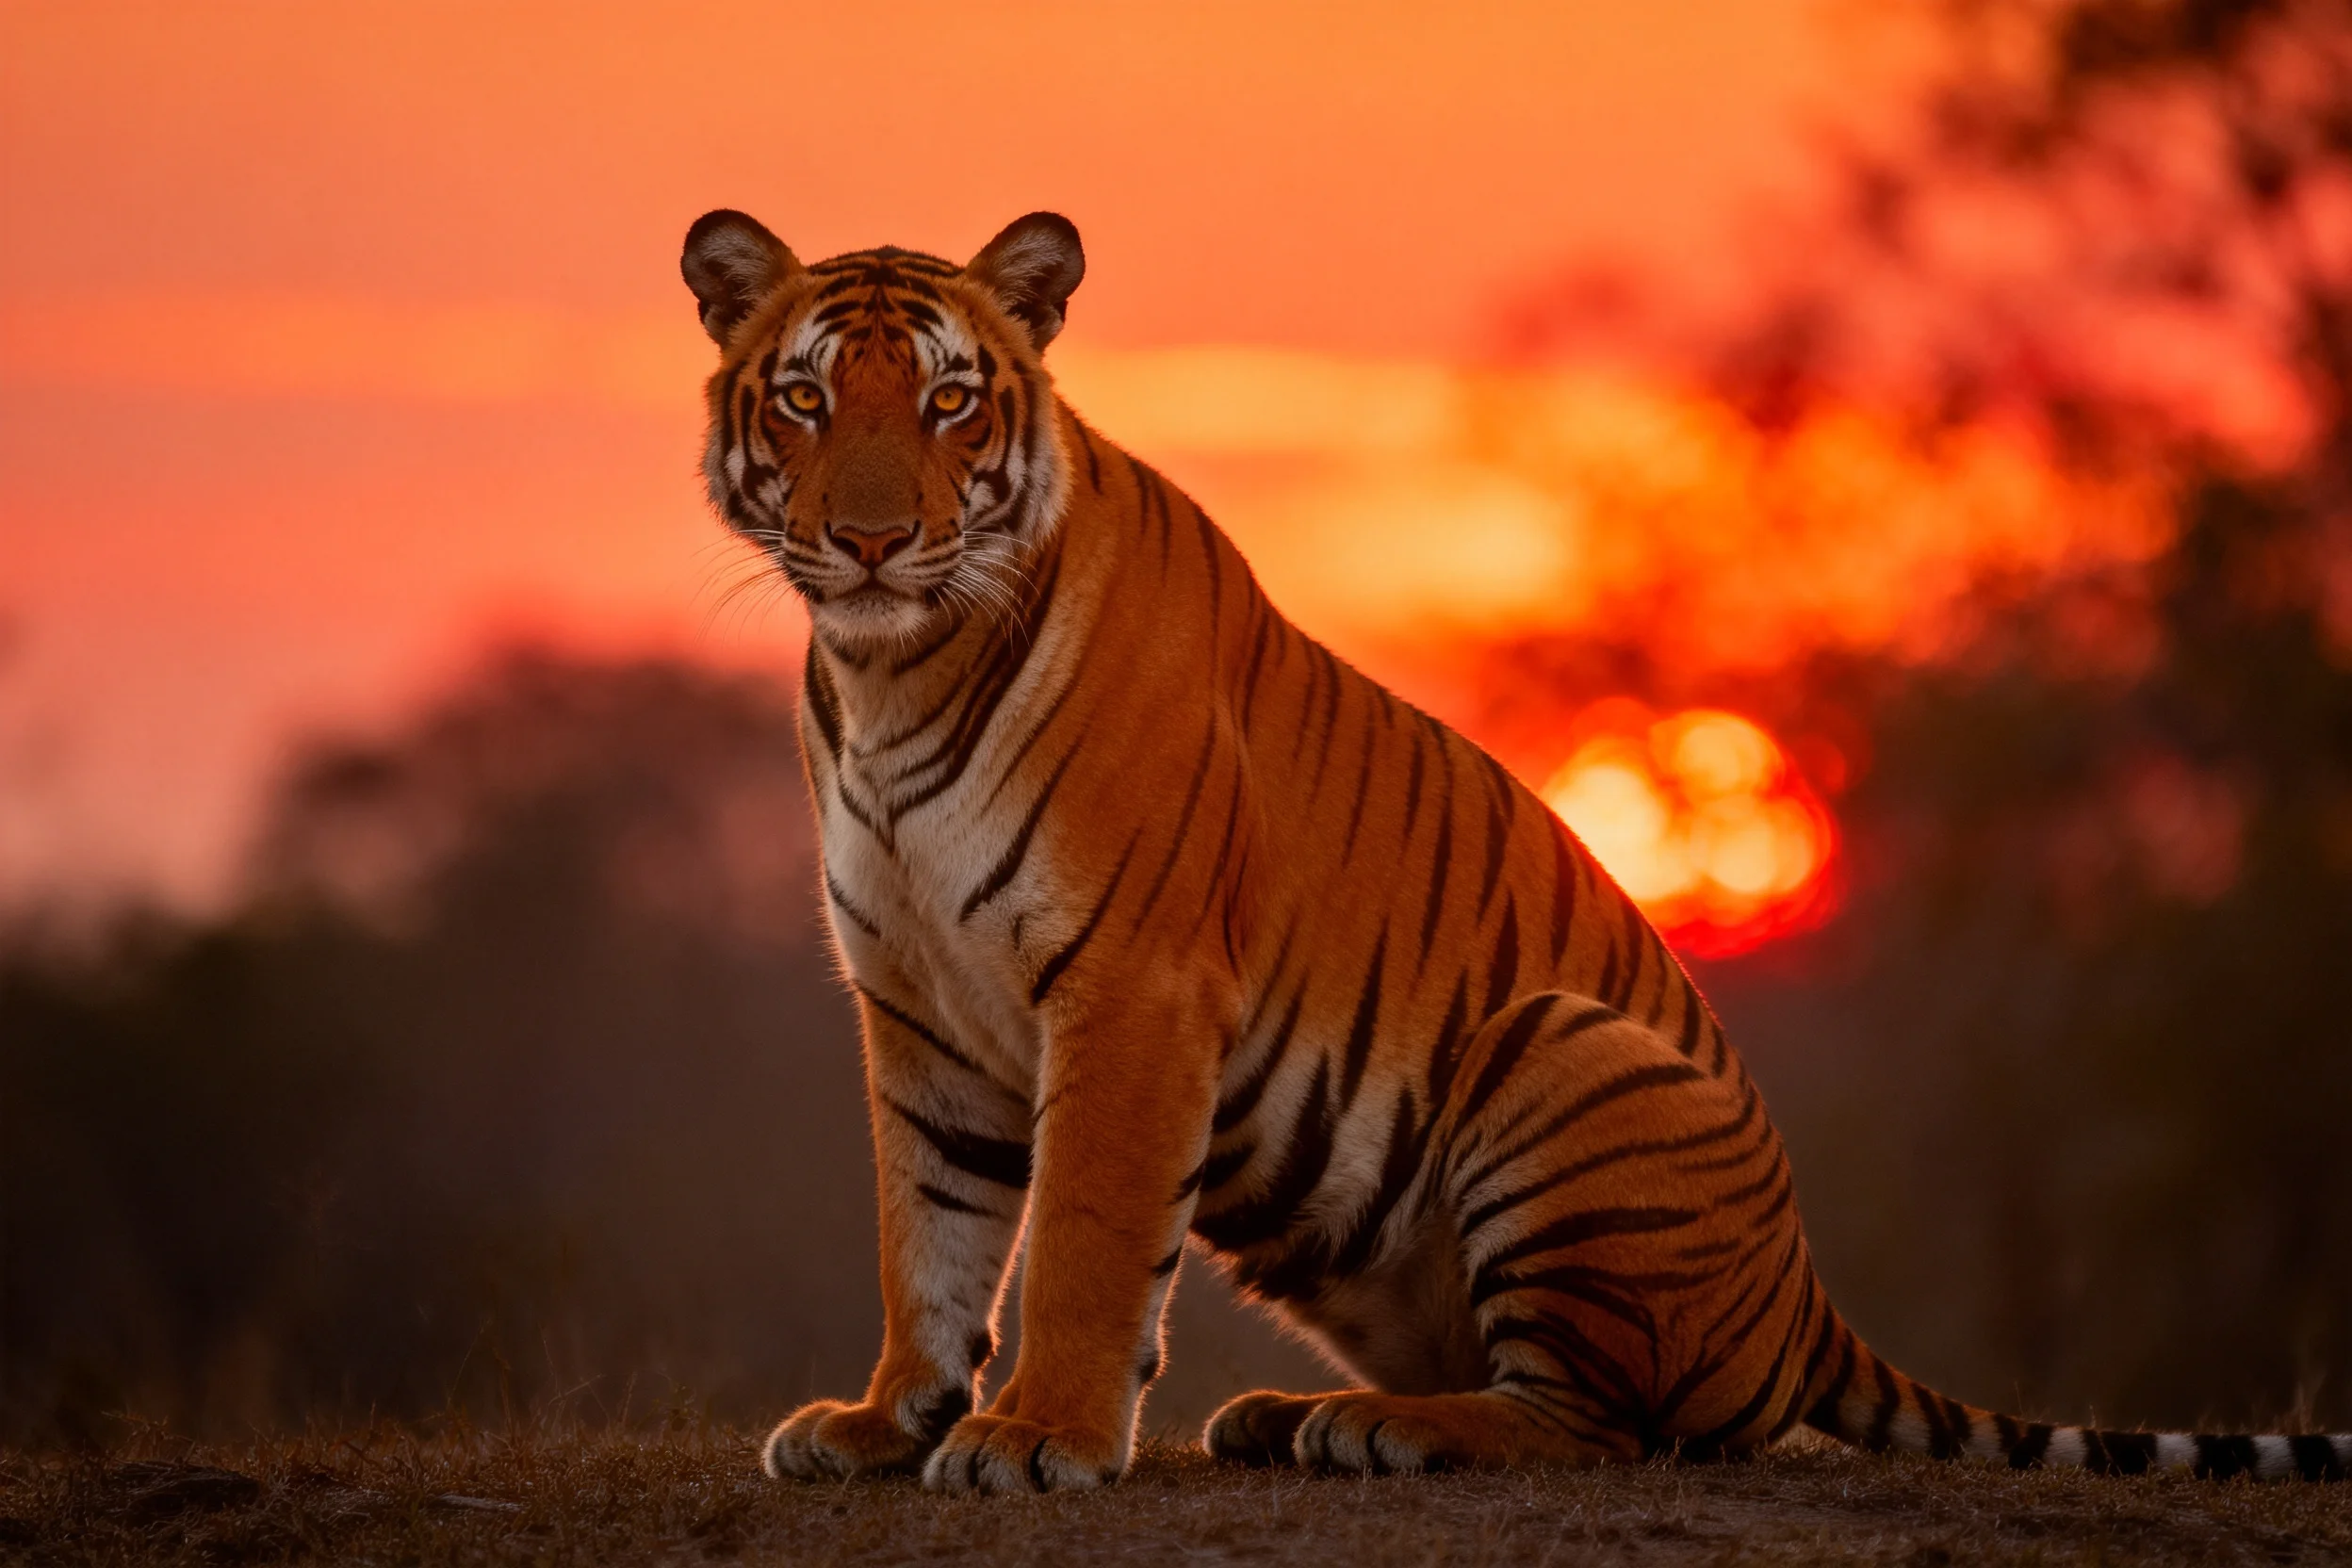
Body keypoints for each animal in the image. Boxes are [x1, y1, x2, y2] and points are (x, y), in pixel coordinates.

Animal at [680, 206, 2352, 1493]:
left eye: (950, 404)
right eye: (810, 403)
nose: (876, 541)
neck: (893, 675)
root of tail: (1810, 1300)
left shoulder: (1130, 985)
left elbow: (1085, 1232)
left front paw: (1039, 1440)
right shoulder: (917, 1002)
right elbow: (929, 1230)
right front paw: (886, 1422)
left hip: (1561, 1048)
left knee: (1600, 1425)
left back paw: (1372, 1432)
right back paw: (1288, 1417)